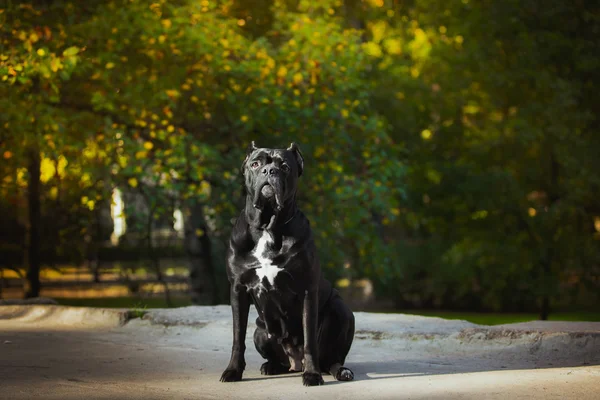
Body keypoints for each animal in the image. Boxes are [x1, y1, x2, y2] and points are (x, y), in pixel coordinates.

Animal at [220, 142, 356, 386]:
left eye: (284, 166)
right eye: (255, 164)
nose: (269, 171)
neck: (268, 227)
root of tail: (295, 362)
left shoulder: (307, 290)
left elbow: (310, 340)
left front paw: (312, 375)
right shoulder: (237, 289)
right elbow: (237, 337)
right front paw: (233, 371)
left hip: (342, 312)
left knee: (331, 359)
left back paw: (339, 371)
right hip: (260, 331)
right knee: (277, 358)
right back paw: (271, 366)